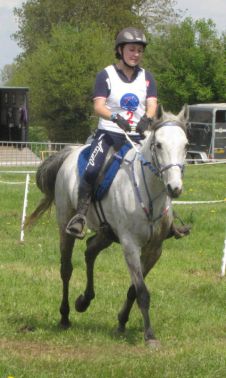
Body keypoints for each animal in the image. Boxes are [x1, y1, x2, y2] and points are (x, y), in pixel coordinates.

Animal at [26, 105, 189, 346]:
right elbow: (142, 291)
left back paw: (84, 301)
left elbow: (134, 289)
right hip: (66, 223)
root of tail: (70, 153)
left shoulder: (154, 249)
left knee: (90, 251)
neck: (147, 194)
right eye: (158, 144)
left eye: (185, 145)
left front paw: (122, 322)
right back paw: (65, 316)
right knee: (66, 269)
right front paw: (150, 336)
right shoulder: (130, 246)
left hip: (107, 233)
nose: (174, 187)